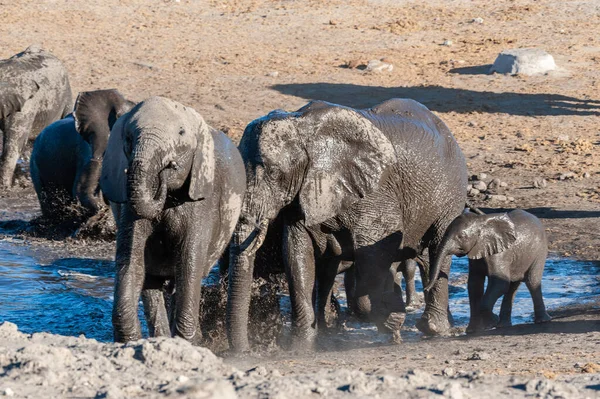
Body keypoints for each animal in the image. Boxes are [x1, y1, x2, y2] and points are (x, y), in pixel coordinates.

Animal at [83, 95, 245, 342]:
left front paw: (187, 342)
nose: (167, 167)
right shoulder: (129, 209)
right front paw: (130, 341)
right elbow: (132, 261)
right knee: (152, 280)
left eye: (181, 132)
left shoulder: (202, 200)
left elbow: (189, 263)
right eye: (128, 137)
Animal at [229, 98, 468, 352]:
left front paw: (392, 322)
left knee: (437, 248)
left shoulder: (375, 193)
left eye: (273, 172)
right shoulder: (302, 195)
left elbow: (373, 256)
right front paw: (300, 346)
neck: (301, 126)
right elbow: (297, 255)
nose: (247, 351)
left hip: (449, 193)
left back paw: (434, 329)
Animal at [424, 209, 552, 334]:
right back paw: (503, 325)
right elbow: (474, 285)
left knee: (531, 281)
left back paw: (542, 321)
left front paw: (492, 321)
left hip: (540, 251)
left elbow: (499, 283)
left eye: (461, 236)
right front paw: (472, 330)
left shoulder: (499, 253)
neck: (481, 222)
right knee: (512, 286)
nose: (426, 288)